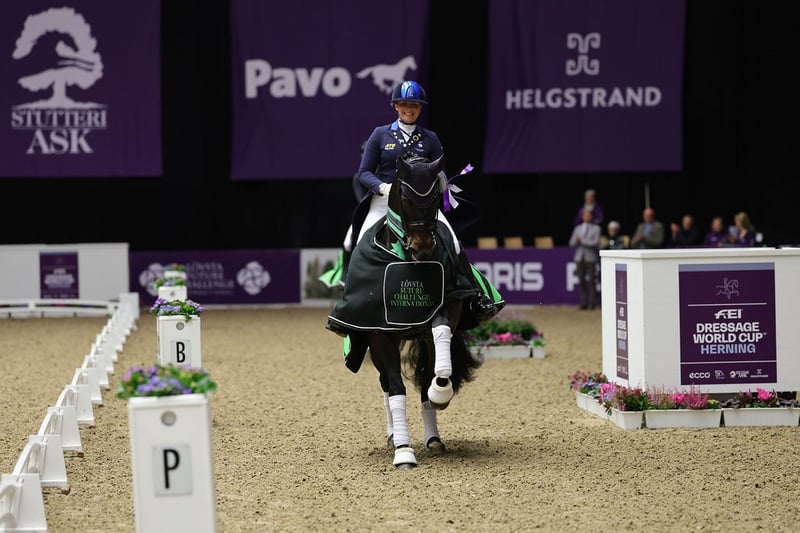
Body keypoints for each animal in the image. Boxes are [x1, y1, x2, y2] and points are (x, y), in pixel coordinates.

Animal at [327, 154, 500, 469]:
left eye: (434, 196)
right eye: (406, 196)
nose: (423, 248)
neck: (406, 261)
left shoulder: (446, 308)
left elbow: (437, 365)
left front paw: (441, 394)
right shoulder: (379, 332)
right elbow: (396, 389)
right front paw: (403, 451)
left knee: (423, 377)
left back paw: (433, 437)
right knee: (386, 383)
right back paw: (394, 435)